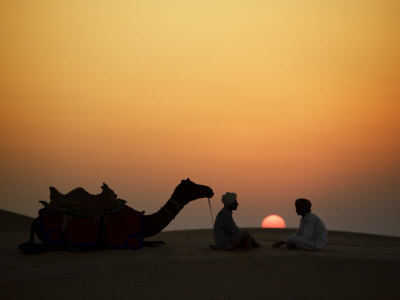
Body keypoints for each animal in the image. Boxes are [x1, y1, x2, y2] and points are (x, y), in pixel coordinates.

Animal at [18, 178, 212, 253]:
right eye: (193, 186)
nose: (209, 189)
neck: (144, 221)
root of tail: (36, 220)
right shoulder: (127, 240)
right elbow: (147, 243)